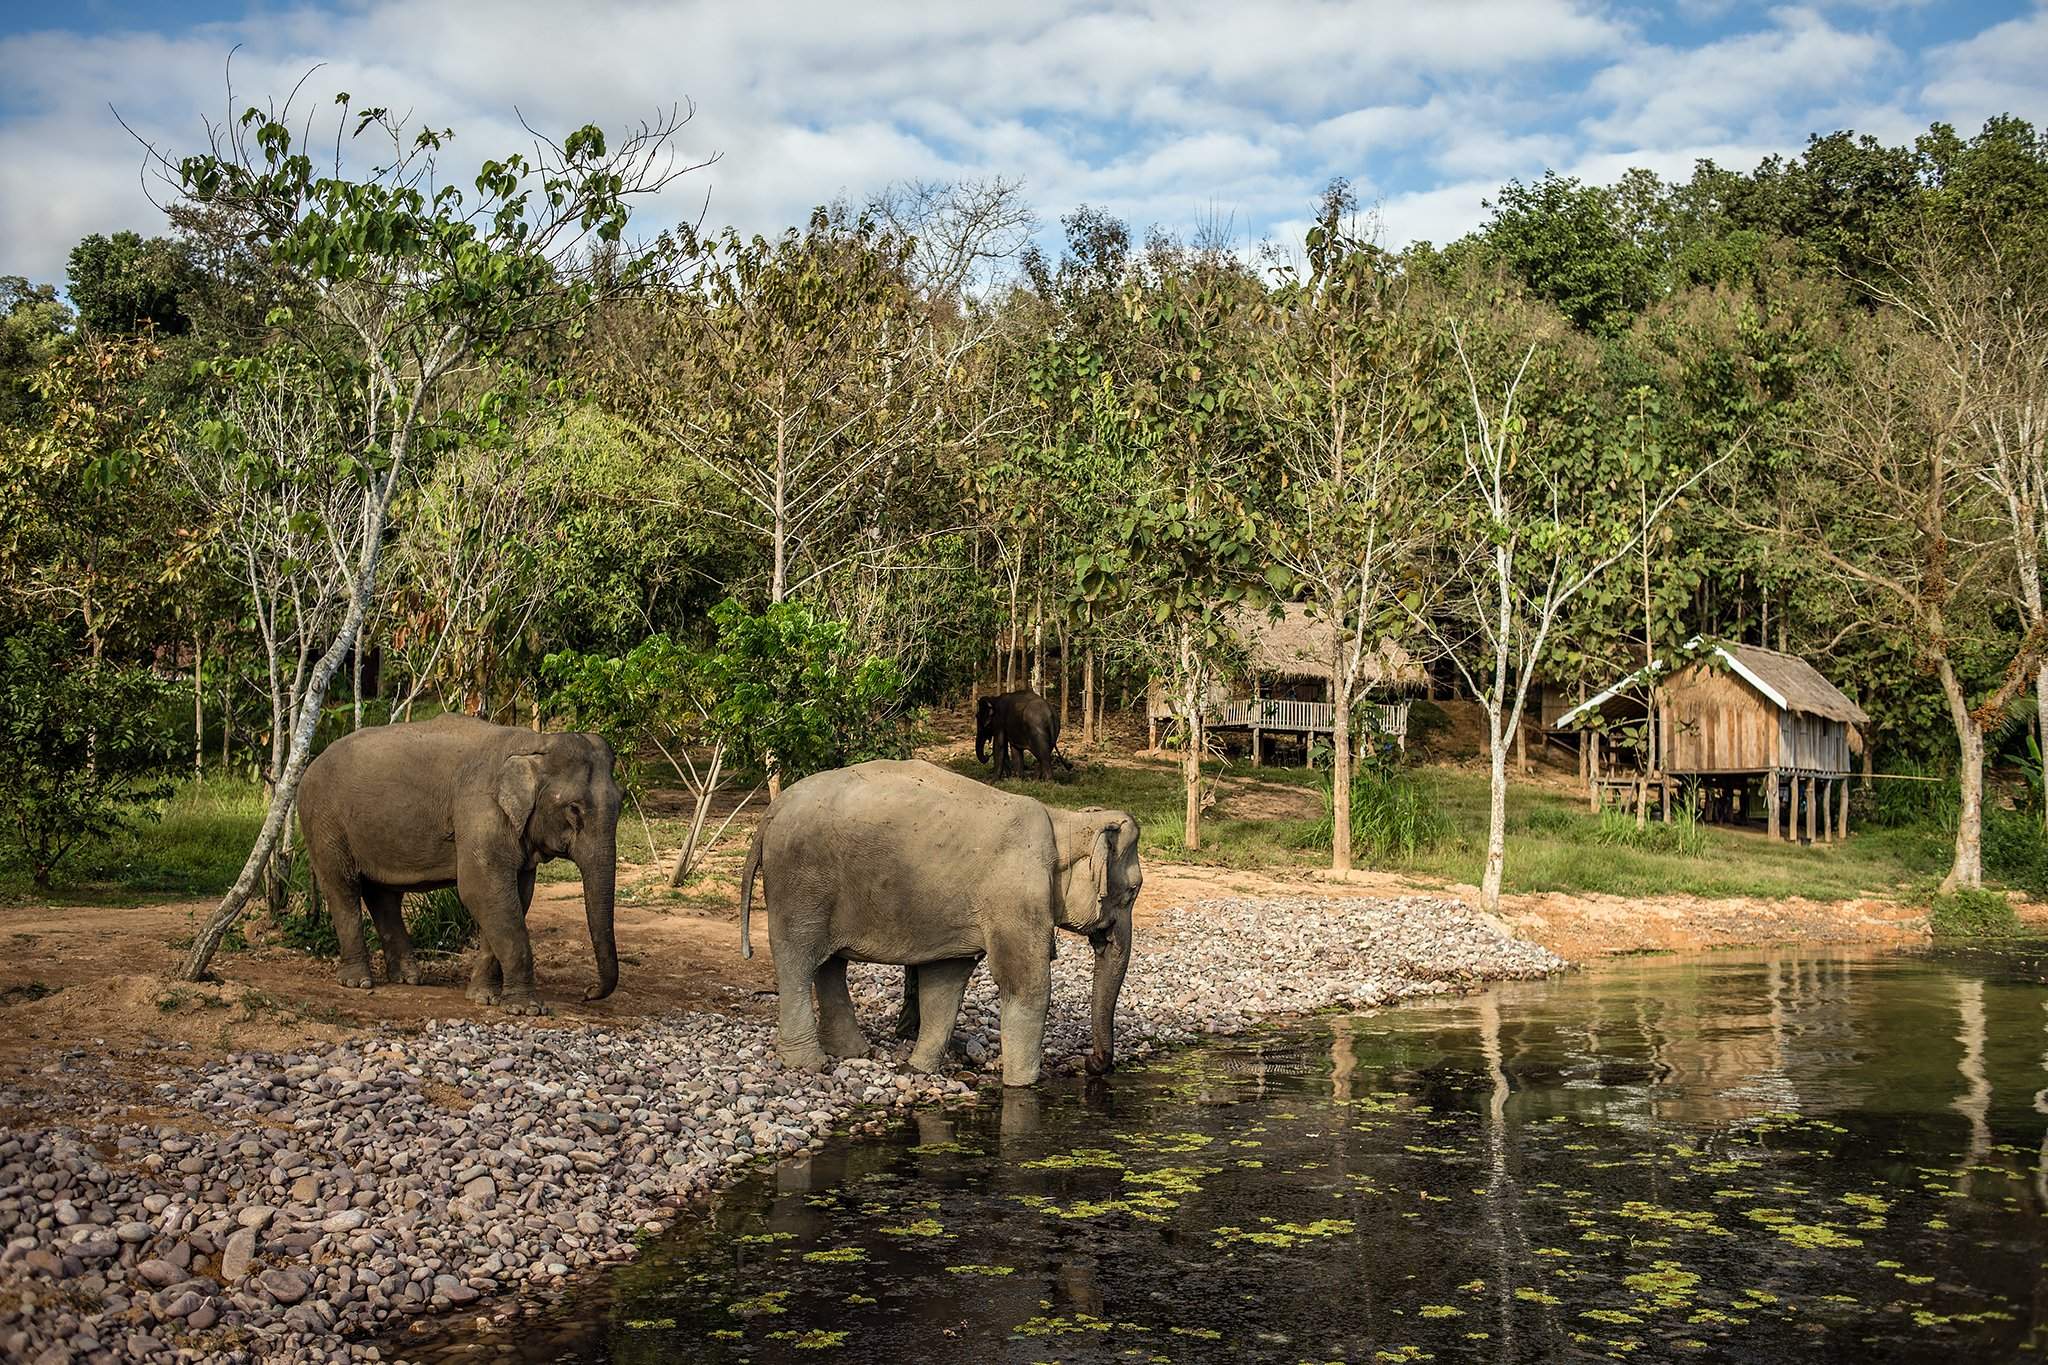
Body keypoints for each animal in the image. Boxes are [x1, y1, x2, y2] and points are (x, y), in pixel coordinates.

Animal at [292, 716, 618, 1015]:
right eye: (574, 809)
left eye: (621, 799)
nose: (588, 992)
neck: (535, 742)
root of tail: (311, 764)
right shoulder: (479, 811)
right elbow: (482, 892)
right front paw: (527, 1008)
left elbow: (514, 897)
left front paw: (483, 998)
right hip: (323, 821)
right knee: (342, 887)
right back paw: (357, 982)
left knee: (384, 895)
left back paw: (408, 978)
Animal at [745, 757, 1146, 1088]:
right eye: (1131, 891)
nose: (1092, 1064)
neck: (1065, 819)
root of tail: (773, 811)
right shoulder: (1015, 894)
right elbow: (1027, 985)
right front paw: (1022, 1086)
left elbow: (946, 981)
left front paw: (915, 1069)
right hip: (800, 883)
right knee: (798, 961)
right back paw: (808, 1064)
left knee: (830, 964)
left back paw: (852, 1054)